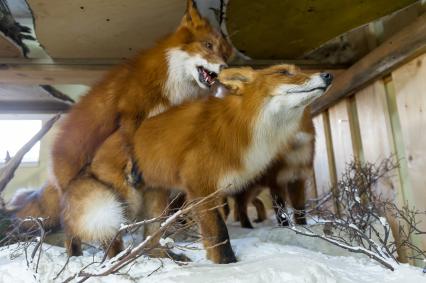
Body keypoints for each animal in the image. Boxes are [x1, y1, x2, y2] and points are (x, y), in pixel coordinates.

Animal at [5, 0, 233, 258]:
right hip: (97, 196)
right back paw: (85, 257)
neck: (171, 85)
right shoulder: (130, 111)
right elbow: (130, 137)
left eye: (225, 53)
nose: (225, 67)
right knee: (75, 227)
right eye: (208, 45)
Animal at [132, 64, 332, 264]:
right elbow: (219, 232)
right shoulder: (201, 185)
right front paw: (227, 264)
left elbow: (298, 212)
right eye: (283, 72)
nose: (328, 75)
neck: (238, 127)